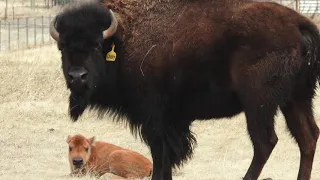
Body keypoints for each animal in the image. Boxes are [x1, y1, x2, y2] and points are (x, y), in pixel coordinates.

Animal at [48, 0, 318, 180]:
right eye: (62, 47)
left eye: (96, 45)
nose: (77, 77)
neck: (123, 39)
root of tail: (299, 25)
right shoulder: (167, 122)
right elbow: (163, 159)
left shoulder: (156, 120)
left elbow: (160, 157)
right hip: (297, 98)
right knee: (307, 137)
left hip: (259, 104)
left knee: (265, 142)